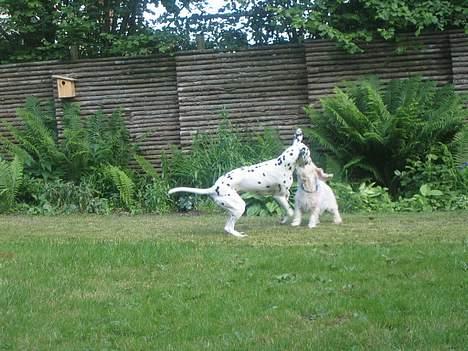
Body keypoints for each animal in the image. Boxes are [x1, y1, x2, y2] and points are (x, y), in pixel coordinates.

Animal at [168, 128, 310, 238]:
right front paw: (292, 220)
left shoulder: (285, 196)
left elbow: (287, 209)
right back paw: (239, 236)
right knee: (228, 228)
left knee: (227, 226)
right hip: (239, 207)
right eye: (308, 153)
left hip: (232, 209)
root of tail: (214, 188)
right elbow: (290, 211)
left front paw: (284, 219)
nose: (309, 161)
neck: (283, 164)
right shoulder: (278, 196)